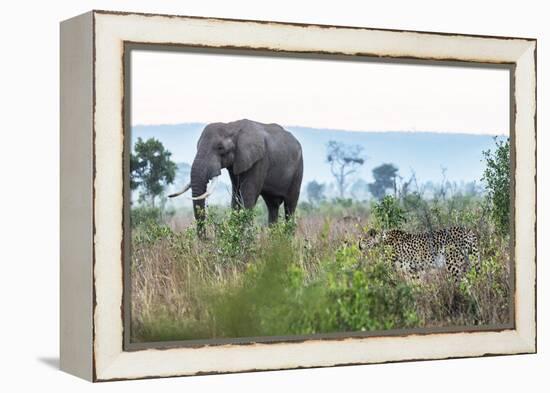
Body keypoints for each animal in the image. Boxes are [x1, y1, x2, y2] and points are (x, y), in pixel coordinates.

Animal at [169, 118, 304, 236]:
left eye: (220, 148)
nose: (206, 239)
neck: (232, 126)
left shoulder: (259, 160)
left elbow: (247, 196)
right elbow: (236, 196)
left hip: (298, 169)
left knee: (290, 206)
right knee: (272, 206)